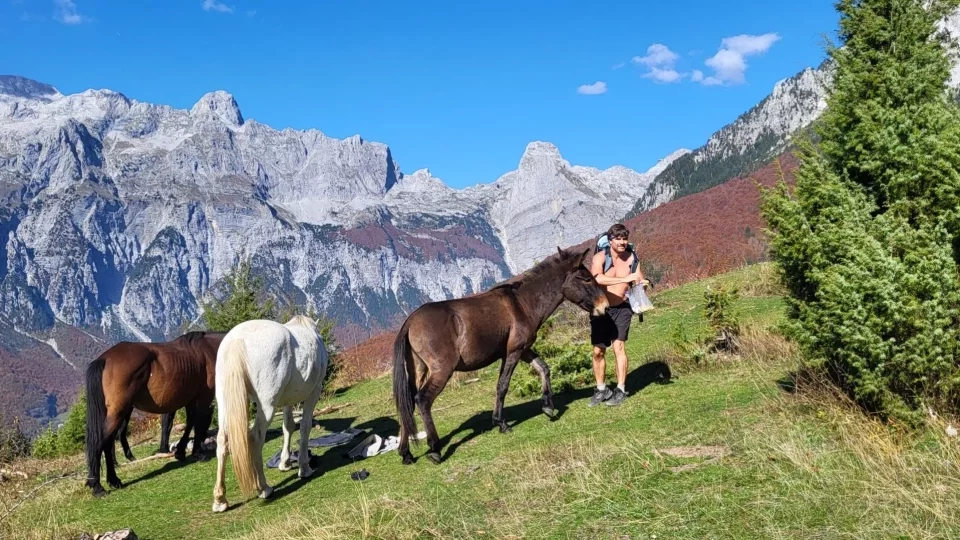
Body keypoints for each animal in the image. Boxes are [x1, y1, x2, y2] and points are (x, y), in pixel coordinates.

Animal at [83, 326, 225, 496]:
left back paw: (113, 480)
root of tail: (104, 358)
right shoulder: (204, 396)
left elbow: (190, 423)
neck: (208, 349)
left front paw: (181, 451)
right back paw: (98, 486)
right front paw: (197, 452)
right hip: (119, 413)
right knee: (101, 443)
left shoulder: (191, 399)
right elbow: (198, 423)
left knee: (108, 443)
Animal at [211, 314, 328, 512]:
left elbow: (288, 427)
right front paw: (304, 468)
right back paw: (263, 488)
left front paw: (285, 462)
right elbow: (304, 427)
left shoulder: (287, 399)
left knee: (222, 441)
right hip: (266, 405)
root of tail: (237, 340)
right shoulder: (314, 391)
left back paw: (220, 500)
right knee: (256, 438)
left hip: (225, 403)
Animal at [390, 246, 608, 464]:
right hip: (441, 370)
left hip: (418, 370)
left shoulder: (524, 350)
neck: (522, 304)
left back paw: (406, 453)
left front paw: (547, 406)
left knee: (407, 404)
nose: (604, 306)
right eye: (586, 279)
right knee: (423, 400)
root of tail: (410, 321)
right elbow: (502, 386)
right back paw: (435, 448)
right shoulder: (513, 352)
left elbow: (543, 368)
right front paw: (501, 423)